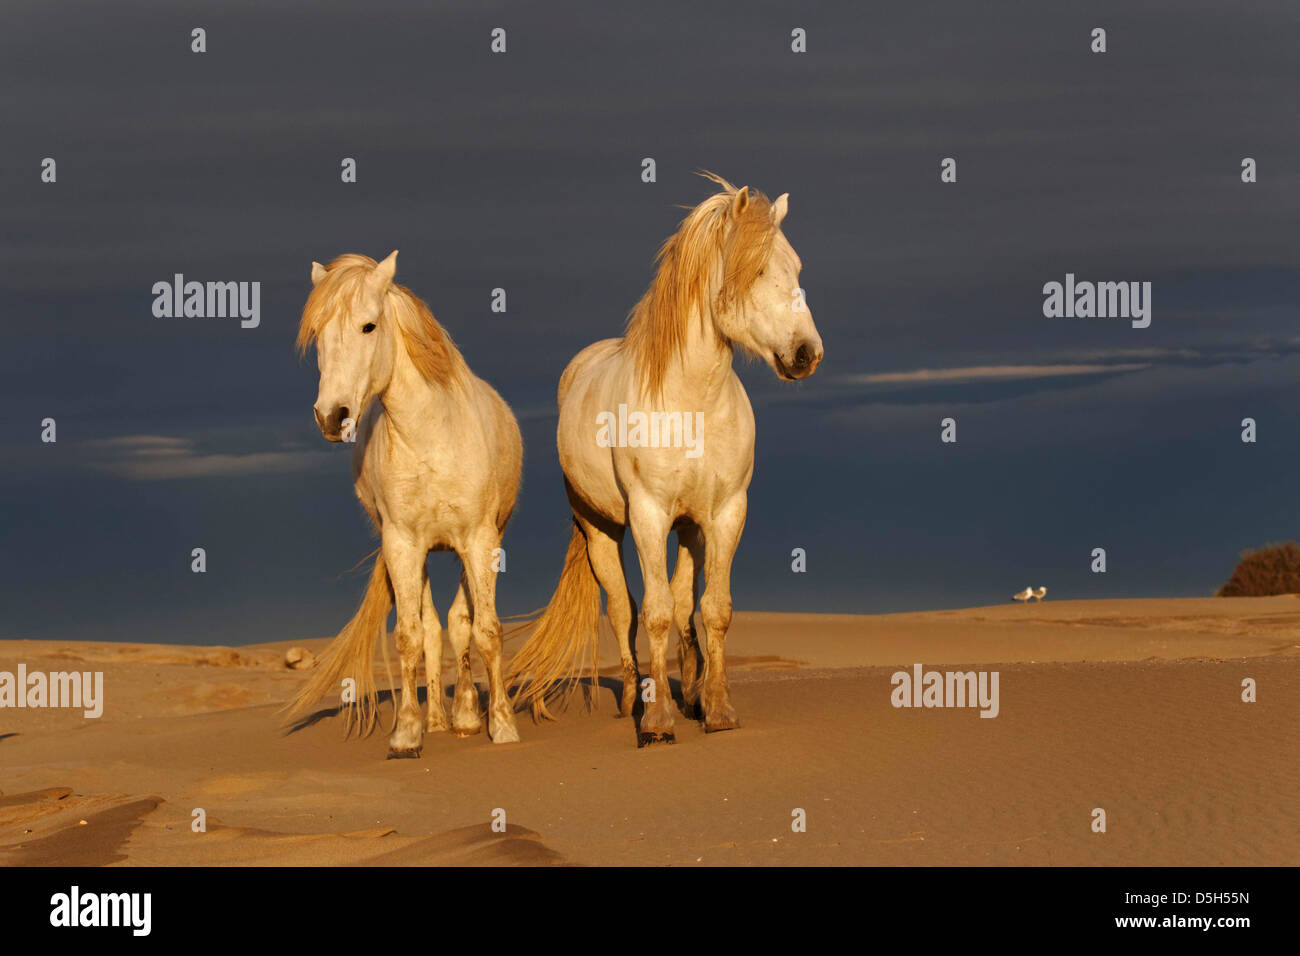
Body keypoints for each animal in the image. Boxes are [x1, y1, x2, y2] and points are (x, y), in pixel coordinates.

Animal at [286, 251, 522, 759]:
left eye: (368, 326)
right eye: (318, 334)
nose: (332, 417)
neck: (431, 436)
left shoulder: (479, 541)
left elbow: (484, 630)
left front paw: (502, 724)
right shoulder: (402, 545)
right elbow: (412, 636)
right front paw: (407, 732)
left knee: (460, 622)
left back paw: (467, 715)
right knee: (433, 627)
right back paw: (439, 719)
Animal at [506, 178, 821, 749]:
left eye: (796, 268)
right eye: (756, 271)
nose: (807, 353)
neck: (691, 400)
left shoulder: (725, 515)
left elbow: (711, 610)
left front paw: (717, 709)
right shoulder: (648, 516)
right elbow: (651, 613)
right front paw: (656, 723)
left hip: (689, 528)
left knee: (681, 604)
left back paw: (690, 694)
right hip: (602, 529)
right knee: (622, 608)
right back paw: (636, 698)